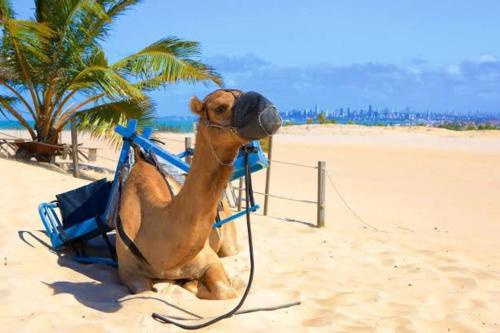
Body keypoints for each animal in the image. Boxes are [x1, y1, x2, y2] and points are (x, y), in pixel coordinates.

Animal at [116, 88, 282, 298]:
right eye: (220, 108)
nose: (270, 113)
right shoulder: (129, 273)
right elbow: (146, 292)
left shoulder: (210, 260)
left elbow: (223, 292)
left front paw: (194, 284)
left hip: (229, 242)